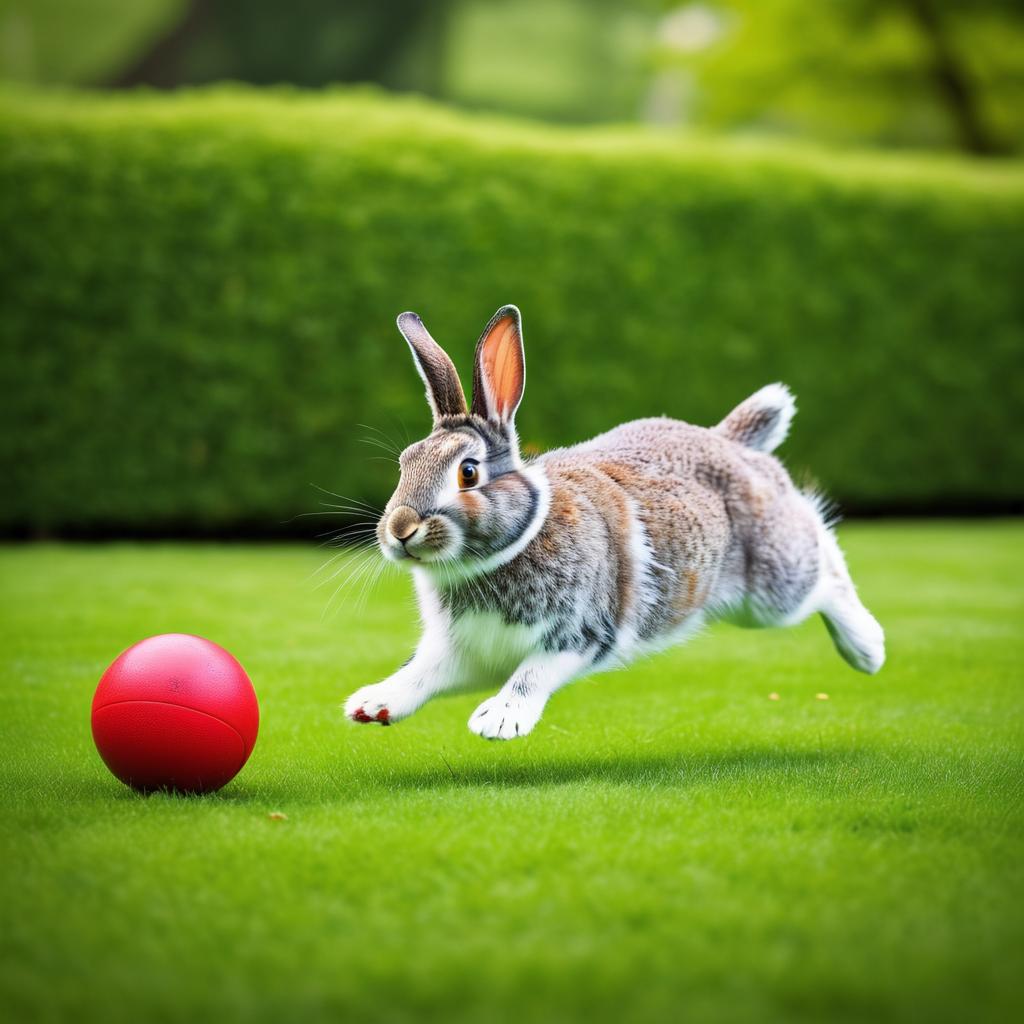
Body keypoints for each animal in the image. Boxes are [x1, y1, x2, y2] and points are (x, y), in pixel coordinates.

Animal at [342, 299, 880, 741]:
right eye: (406, 463)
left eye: (468, 472)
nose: (400, 530)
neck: (512, 545)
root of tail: (732, 443)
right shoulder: (464, 652)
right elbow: (422, 673)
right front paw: (373, 705)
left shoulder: (582, 633)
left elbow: (533, 673)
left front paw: (498, 721)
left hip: (770, 592)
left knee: (822, 564)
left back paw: (868, 649)